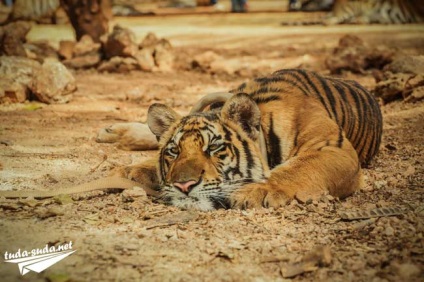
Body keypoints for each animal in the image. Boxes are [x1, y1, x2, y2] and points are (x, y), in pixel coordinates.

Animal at [117, 68, 382, 210]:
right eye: (174, 151)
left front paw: (256, 190)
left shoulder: (333, 148)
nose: (184, 186)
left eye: (214, 147)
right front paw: (133, 171)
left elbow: (298, 168)